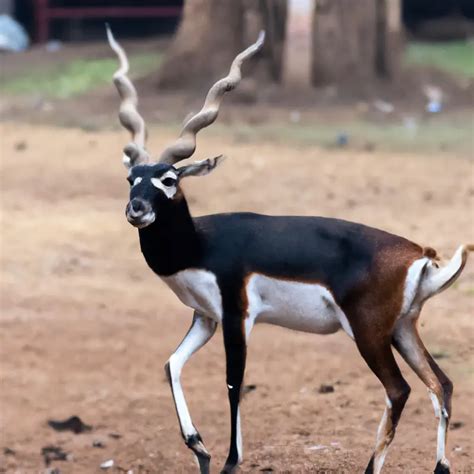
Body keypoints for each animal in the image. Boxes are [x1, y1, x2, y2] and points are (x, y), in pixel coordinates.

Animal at [105, 26, 472, 474]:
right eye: (132, 179)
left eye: (169, 179)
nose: (136, 209)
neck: (199, 245)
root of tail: (420, 256)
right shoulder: (205, 318)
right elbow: (171, 363)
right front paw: (200, 449)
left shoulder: (237, 316)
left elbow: (233, 382)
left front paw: (229, 461)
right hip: (402, 329)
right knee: (441, 383)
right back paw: (441, 465)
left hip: (368, 332)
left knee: (399, 389)